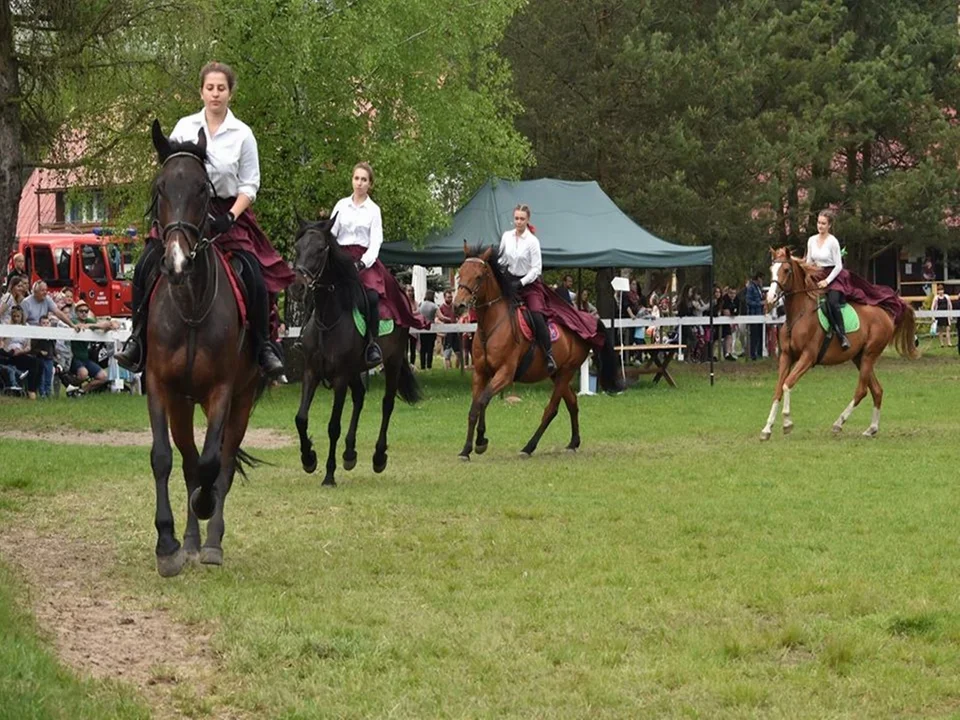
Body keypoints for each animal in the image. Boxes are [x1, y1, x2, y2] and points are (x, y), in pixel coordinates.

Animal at [144, 121, 262, 576]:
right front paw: (167, 544)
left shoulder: (223, 392)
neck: (191, 305)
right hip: (182, 403)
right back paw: (192, 541)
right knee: (189, 463)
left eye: (201, 190)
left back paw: (210, 542)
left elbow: (214, 463)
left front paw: (205, 509)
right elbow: (165, 459)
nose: (176, 263)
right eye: (161, 188)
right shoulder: (159, 386)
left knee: (221, 465)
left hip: (242, 400)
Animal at [292, 219, 420, 486]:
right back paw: (349, 453)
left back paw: (378, 457)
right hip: (355, 370)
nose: (297, 287)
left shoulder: (340, 378)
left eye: (320, 249)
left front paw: (329, 475)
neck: (328, 320)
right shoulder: (311, 372)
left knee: (387, 404)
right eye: (297, 247)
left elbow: (333, 426)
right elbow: (300, 418)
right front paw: (308, 459)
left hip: (392, 362)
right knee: (360, 397)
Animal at [452, 245, 624, 462]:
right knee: (572, 403)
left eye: (478, 276)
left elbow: (483, 401)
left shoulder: (505, 374)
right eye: (460, 273)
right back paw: (573, 443)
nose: (458, 305)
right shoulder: (480, 373)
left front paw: (481, 441)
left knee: (551, 410)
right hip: (557, 375)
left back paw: (529, 447)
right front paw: (466, 449)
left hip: (566, 372)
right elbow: (474, 408)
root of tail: (587, 319)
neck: (491, 326)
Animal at [760, 246, 920, 438]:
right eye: (772, 269)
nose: (770, 297)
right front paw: (767, 428)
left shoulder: (808, 357)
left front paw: (787, 422)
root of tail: (886, 313)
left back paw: (838, 423)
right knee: (877, 390)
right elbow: (778, 389)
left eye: (786, 270)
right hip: (859, 358)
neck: (798, 315)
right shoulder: (786, 356)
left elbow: (786, 384)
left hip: (869, 354)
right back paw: (871, 428)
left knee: (862, 391)